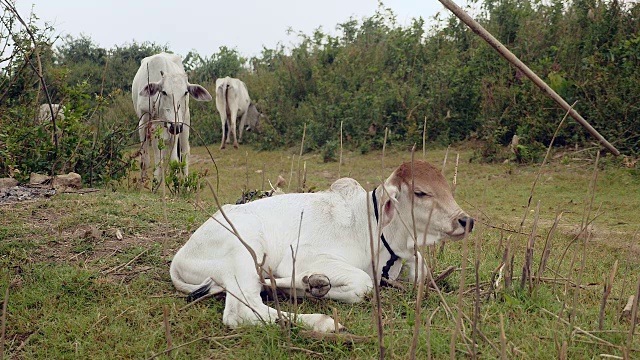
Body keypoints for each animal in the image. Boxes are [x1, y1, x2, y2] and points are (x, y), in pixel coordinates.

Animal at [132, 52, 212, 183]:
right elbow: (147, 161)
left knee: (184, 154)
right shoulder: (145, 123)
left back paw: (186, 184)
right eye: (164, 92)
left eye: (185, 92)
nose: (175, 127)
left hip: (185, 121)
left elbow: (173, 161)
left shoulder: (177, 125)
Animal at [171, 160, 476, 332]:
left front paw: (308, 285)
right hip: (246, 251)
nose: (465, 220)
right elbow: (363, 283)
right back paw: (323, 321)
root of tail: (181, 256)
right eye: (421, 192)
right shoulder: (302, 256)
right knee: (241, 311)